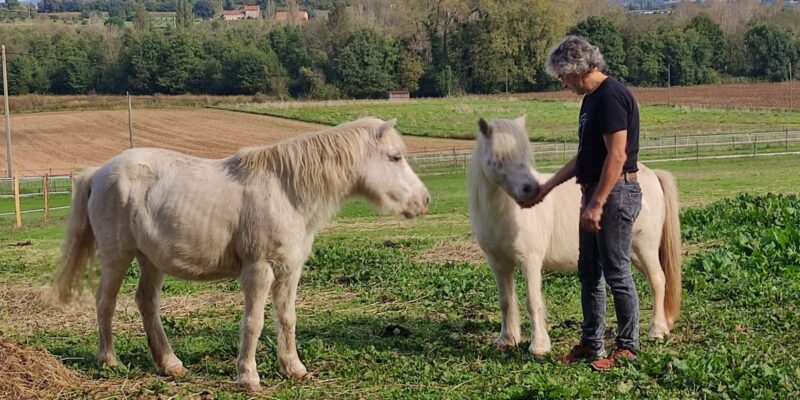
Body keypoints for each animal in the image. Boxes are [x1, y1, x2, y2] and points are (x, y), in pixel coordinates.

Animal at [54, 116, 432, 390]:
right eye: (395, 157)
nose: (424, 201)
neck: (286, 191)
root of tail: (98, 173)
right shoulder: (259, 269)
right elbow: (254, 321)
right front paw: (248, 376)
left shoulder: (289, 270)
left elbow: (287, 319)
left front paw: (294, 368)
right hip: (117, 255)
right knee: (105, 302)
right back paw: (109, 360)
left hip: (150, 259)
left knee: (147, 302)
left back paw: (170, 364)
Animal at [468, 115, 680, 356]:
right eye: (500, 158)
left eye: (524, 155)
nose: (530, 190)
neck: (505, 213)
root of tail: (652, 175)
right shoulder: (499, 263)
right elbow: (505, 301)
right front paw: (506, 339)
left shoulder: (530, 261)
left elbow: (532, 300)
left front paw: (539, 345)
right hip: (633, 253)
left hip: (646, 249)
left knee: (658, 280)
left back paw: (657, 330)